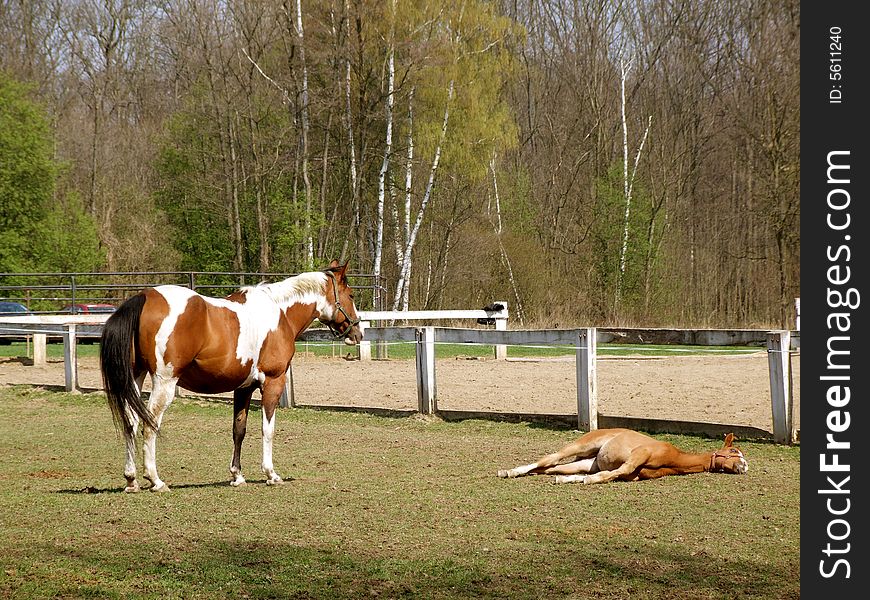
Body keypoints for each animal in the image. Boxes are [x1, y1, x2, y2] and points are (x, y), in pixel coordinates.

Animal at [99, 258, 364, 492]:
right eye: (351, 295)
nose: (358, 333)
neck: (280, 312)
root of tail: (144, 297)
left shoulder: (243, 387)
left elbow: (239, 429)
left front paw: (237, 476)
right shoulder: (273, 382)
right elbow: (267, 429)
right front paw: (271, 474)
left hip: (136, 377)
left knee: (130, 422)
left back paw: (131, 479)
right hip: (164, 383)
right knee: (149, 423)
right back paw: (155, 480)